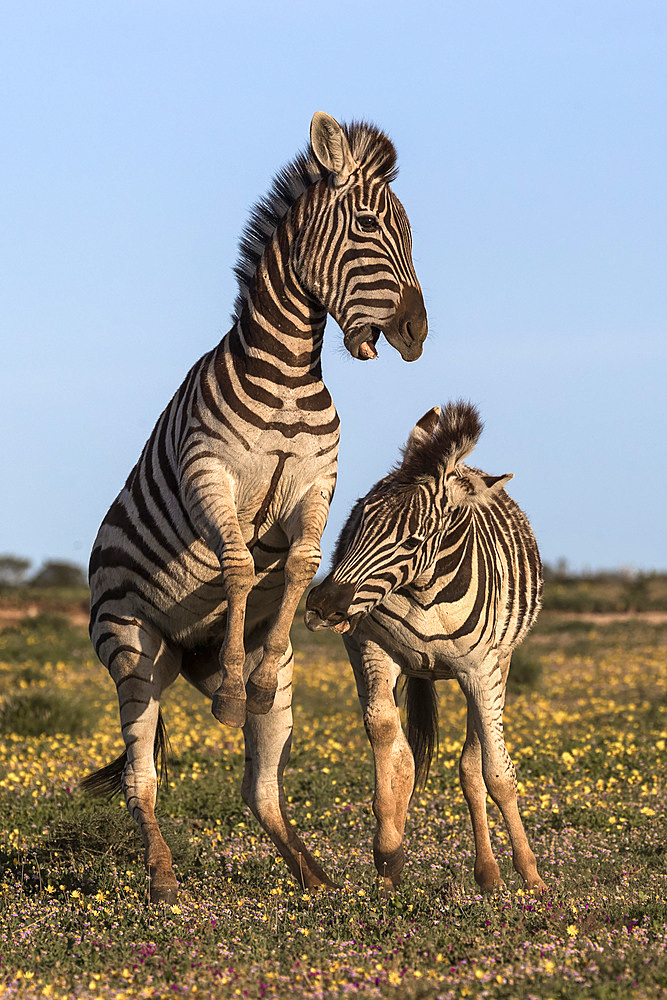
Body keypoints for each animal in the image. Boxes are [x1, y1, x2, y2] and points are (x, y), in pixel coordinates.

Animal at [83, 113, 428, 904]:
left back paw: (315, 878)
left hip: (243, 680)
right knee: (141, 781)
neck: (289, 377)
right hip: (133, 653)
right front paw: (239, 690)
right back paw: (163, 879)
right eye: (368, 226)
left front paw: (258, 678)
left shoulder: (316, 484)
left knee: (259, 788)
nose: (416, 333)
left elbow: (299, 563)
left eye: (410, 231)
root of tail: (187, 652)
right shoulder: (208, 473)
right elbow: (239, 565)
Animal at [308, 402, 548, 896]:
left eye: (413, 541)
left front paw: (531, 875)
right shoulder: (372, 650)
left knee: (473, 766)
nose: (323, 605)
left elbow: (497, 774)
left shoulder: (480, 671)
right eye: (359, 517)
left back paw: (490, 873)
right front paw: (388, 852)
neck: (424, 593)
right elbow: (391, 745)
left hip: (499, 667)